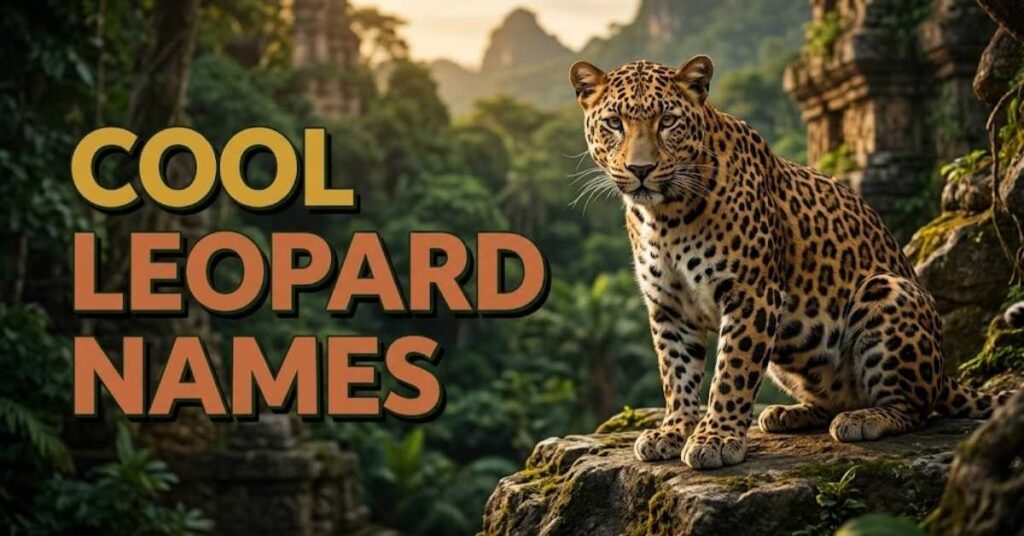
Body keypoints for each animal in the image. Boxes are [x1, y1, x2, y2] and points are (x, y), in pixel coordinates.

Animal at [569, 55, 1017, 470]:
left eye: (668, 121)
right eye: (614, 123)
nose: (640, 169)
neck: (664, 217)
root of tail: (945, 371)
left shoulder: (751, 293)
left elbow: (732, 371)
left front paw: (716, 438)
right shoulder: (668, 306)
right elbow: (676, 373)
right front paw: (673, 430)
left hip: (887, 291)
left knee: (919, 407)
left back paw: (865, 418)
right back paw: (788, 413)